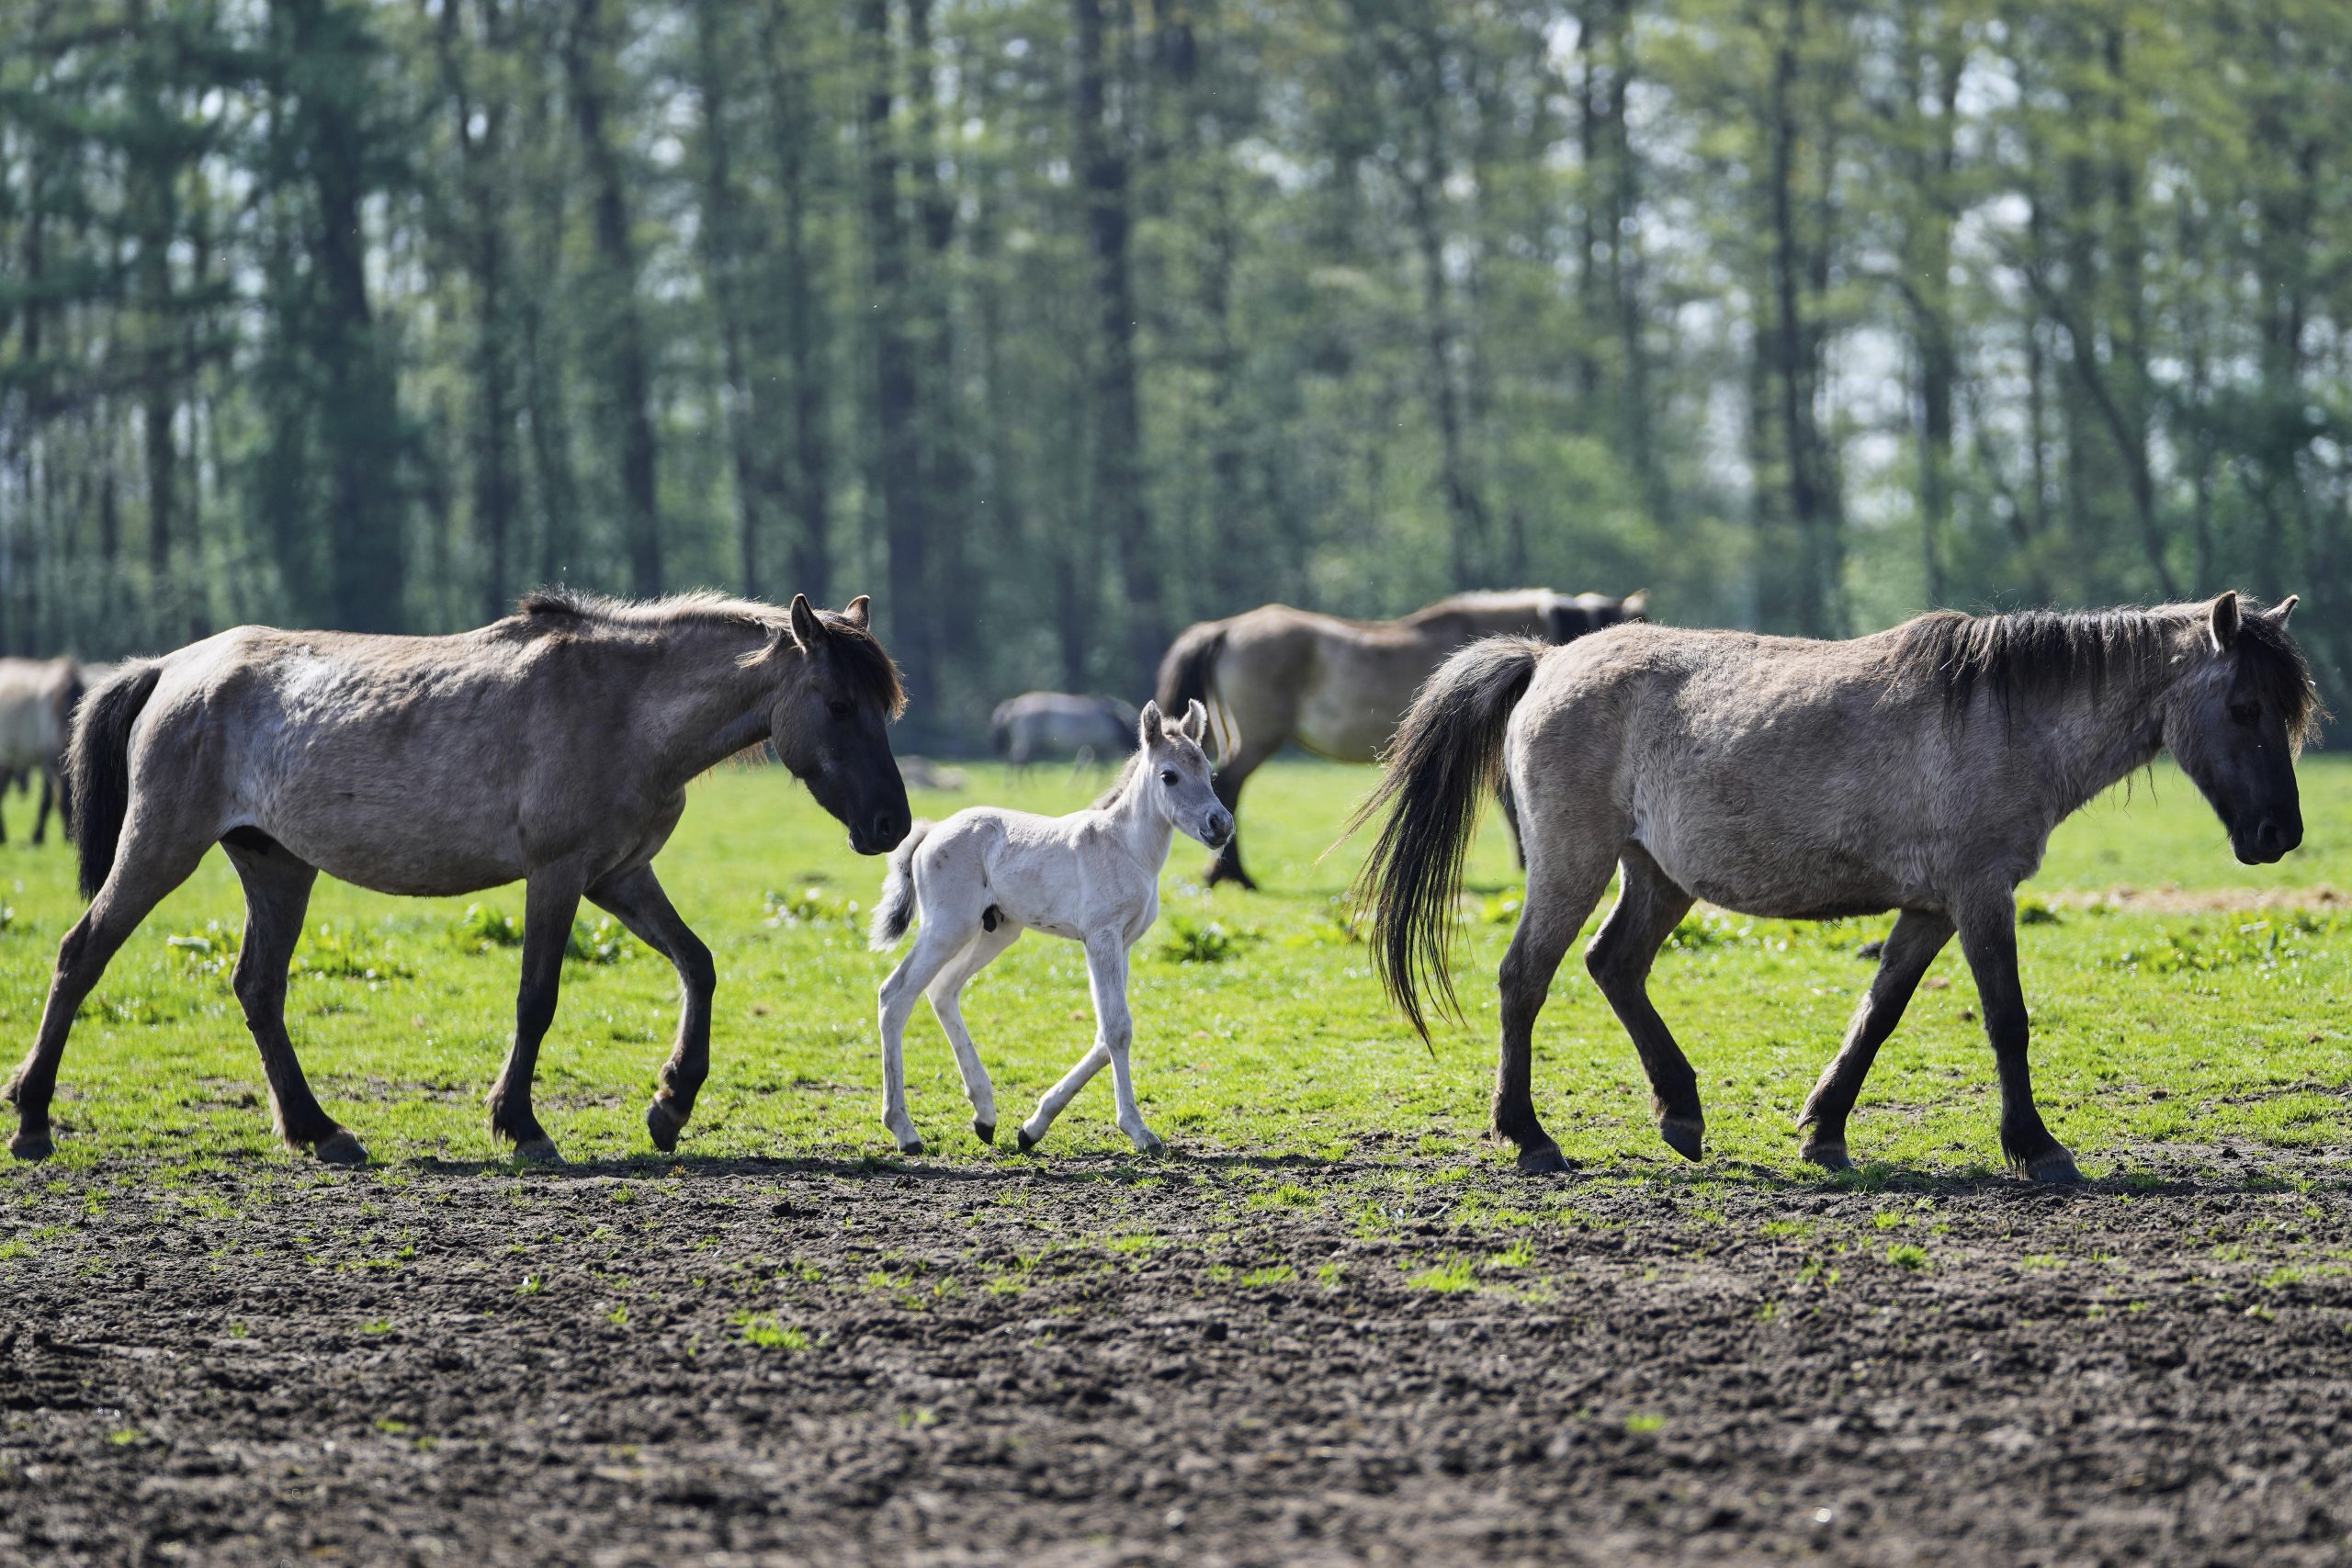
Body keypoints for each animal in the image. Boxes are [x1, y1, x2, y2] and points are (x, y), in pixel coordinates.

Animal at [988, 691, 1140, 770]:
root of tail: (1013, 704)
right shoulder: (1104, 745)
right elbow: (1100, 767)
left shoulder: (1098, 747)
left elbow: (1095, 767)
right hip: (1027, 739)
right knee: (1018, 758)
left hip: (1029, 741)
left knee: (1020, 759)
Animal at [1351, 593, 2313, 1183]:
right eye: (2244, 708)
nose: (2282, 835)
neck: (2004, 718)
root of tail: (1547, 661)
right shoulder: (1980, 896)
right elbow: (2006, 1020)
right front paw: (2037, 1147)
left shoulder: (1929, 909)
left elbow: (1877, 1014)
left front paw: (1825, 1130)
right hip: (1572, 862)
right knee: (1527, 977)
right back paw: (1530, 1135)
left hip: (1656, 875)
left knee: (1613, 966)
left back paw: (1682, 1114)